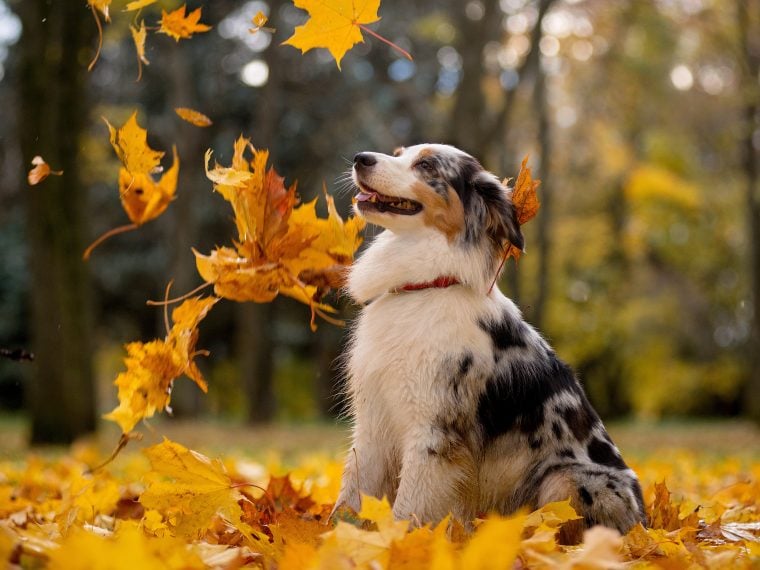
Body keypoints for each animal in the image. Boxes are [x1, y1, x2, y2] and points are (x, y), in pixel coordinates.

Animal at [336, 142, 644, 536]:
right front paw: (334, 536)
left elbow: (408, 510)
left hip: (565, 480)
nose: (360, 158)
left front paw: (397, 543)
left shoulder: (433, 432)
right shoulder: (372, 422)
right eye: (399, 153)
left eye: (426, 166)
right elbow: (351, 494)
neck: (425, 286)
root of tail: (644, 521)